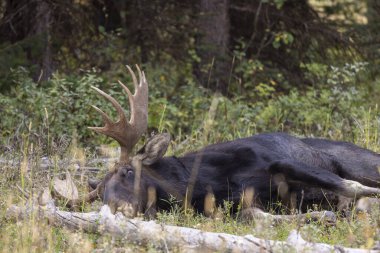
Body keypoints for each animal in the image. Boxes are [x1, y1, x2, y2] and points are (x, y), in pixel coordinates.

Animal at [65, 66, 380, 218]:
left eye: (128, 171)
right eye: (100, 193)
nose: (116, 208)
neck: (202, 182)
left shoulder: (276, 158)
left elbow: (348, 185)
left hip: (361, 162)